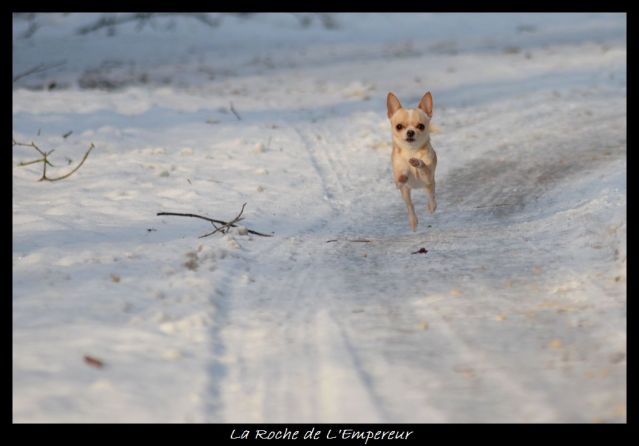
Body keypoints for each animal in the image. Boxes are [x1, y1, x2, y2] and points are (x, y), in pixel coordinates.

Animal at [388, 90, 438, 230]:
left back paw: (432, 206)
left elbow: (423, 165)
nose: (410, 132)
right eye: (399, 126)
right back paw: (413, 221)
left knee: (431, 196)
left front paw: (417, 162)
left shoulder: (427, 176)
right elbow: (402, 176)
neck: (411, 151)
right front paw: (401, 178)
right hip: (406, 192)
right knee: (410, 205)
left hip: (429, 184)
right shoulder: (401, 172)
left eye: (421, 126)